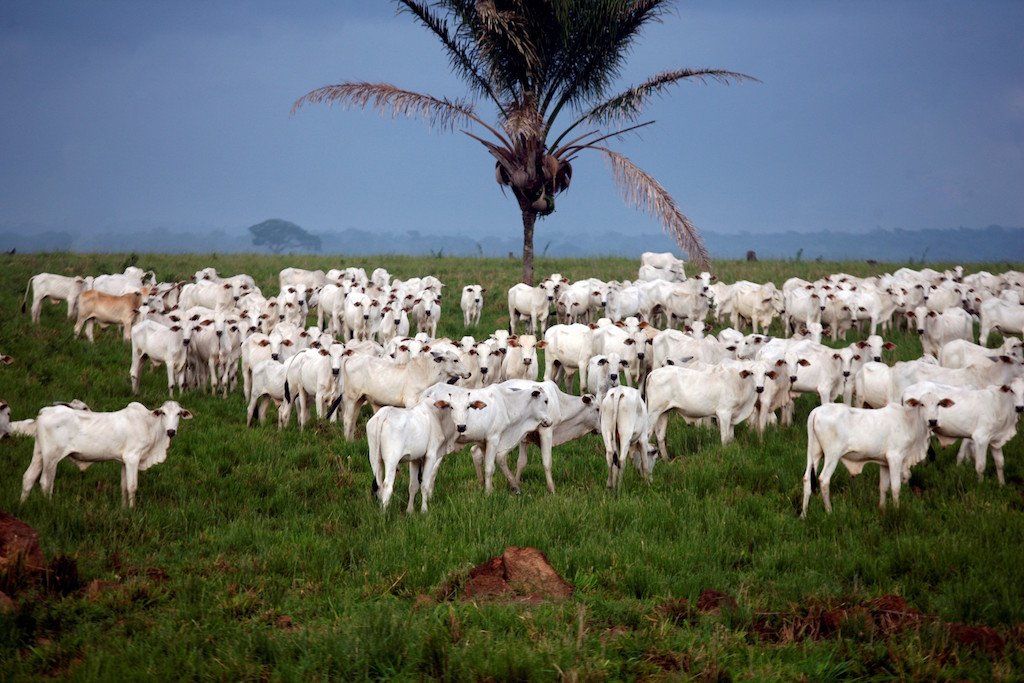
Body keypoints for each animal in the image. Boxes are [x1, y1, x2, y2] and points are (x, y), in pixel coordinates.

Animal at [19, 401, 192, 507]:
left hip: (39, 452)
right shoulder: (132, 457)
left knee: (28, 477)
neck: (150, 426)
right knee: (45, 482)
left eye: (179, 413)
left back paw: (23, 505)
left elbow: (124, 486)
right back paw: (48, 506)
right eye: (163, 413)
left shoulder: (124, 461)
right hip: (51, 456)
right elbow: (132, 486)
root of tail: (45, 411)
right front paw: (133, 510)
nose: (171, 431)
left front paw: (124, 509)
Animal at [802, 397, 933, 516]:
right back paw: (829, 511)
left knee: (807, 479)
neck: (908, 420)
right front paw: (897, 511)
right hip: (832, 455)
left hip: (815, 453)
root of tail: (817, 410)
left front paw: (882, 511)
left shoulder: (884, 463)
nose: (933, 421)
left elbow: (883, 487)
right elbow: (896, 487)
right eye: (922, 404)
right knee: (824, 480)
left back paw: (804, 514)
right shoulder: (895, 458)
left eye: (937, 403)